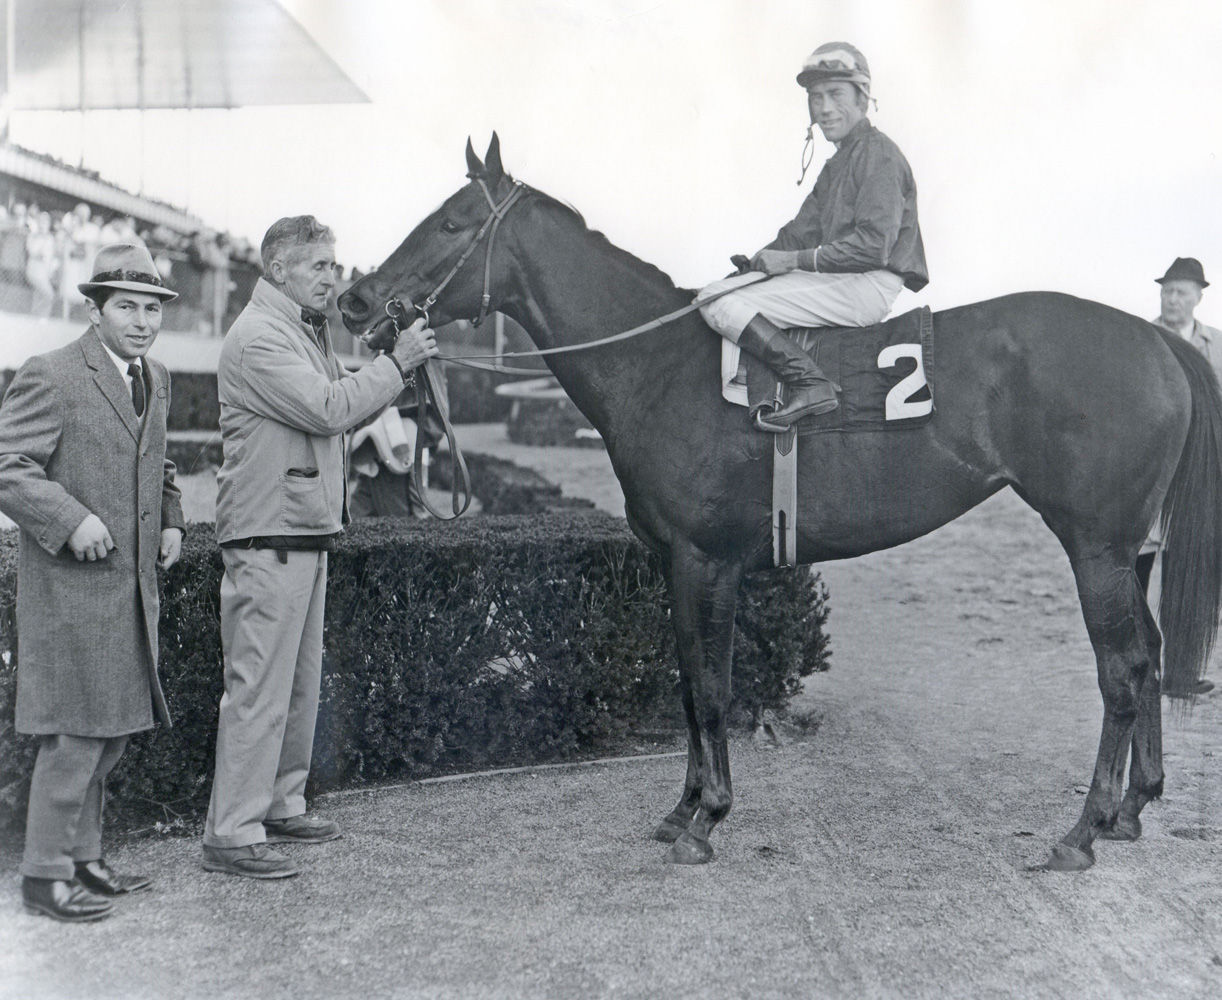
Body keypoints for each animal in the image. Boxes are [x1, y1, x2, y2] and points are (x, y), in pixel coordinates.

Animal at [339, 136, 1222, 870]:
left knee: (1123, 668)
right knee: (1146, 656)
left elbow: (712, 686)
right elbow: (687, 681)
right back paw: (1133, 808)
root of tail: (1156, 338)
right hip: (1125, 549)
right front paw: (682, 808)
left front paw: (708, 817)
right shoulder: (675, 563)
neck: (659, 363)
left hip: (1096, 544)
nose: (356, 303)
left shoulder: (707, 559)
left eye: (452, 222)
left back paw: (1084, 830)